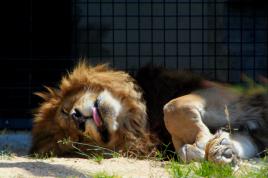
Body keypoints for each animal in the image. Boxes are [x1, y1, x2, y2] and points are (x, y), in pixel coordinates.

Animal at [30, 62, 266, 165]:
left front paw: (208, 145)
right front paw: (222, 150)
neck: (139, 120)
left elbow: (173, 107)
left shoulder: (225, 92)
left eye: (64, 110)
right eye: (75, 140)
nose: (77, 117)